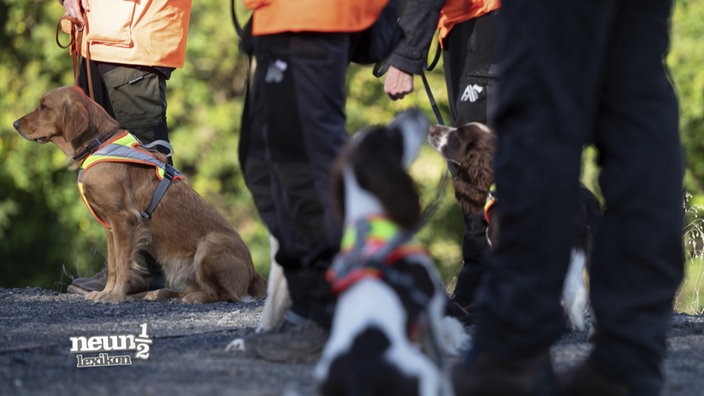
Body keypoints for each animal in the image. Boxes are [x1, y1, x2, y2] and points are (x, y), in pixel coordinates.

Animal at [13, 86, 266, 304]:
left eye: (43, 106)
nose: (14, 123)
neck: (99, 143)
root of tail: (254, 274)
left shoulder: (124, 220)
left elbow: (123, 264)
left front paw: (115, 296)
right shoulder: (110, 226)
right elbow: (113, 265)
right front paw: (106, 292)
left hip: (209, 246)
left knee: (228, 295)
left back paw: (194, 298)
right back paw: (160, 293)